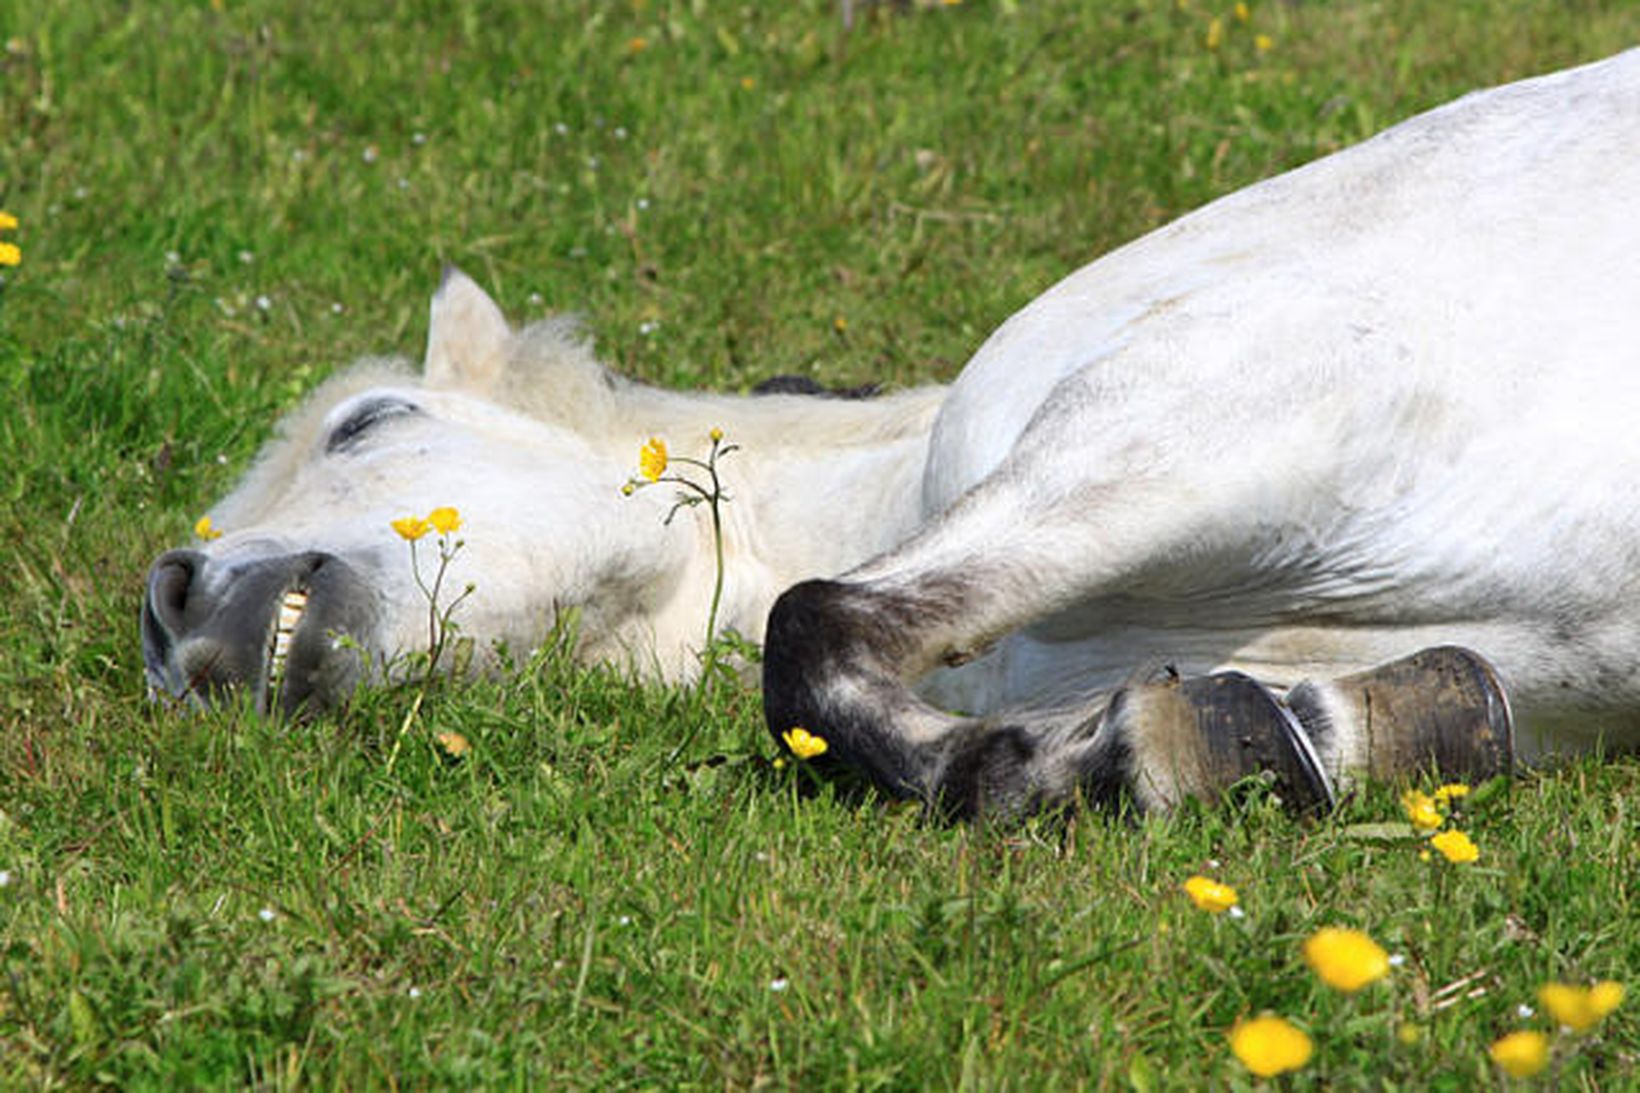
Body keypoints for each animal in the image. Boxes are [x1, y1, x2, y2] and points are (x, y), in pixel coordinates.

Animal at [147, 51, 1633, 817]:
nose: (174, 604)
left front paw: (1043, 764)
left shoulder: (1238, 407)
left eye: (368, 420)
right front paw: (1253, 737)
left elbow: (812, 629)